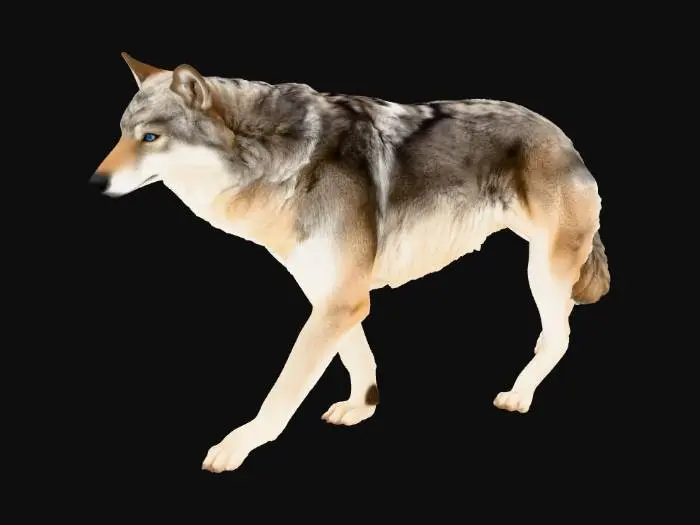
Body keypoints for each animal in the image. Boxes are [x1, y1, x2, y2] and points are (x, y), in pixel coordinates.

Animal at [91, 53, 611, 473]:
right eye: (121, 135)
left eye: (151, 137)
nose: (95, 183)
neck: (276, 156)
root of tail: (563, 136)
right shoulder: (332, 293)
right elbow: (357, 355)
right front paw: (362, 406)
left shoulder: (340, 298)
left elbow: (285, 389)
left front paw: (237, 446)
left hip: (542, 272)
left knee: (559, 336)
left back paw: (519, 395)